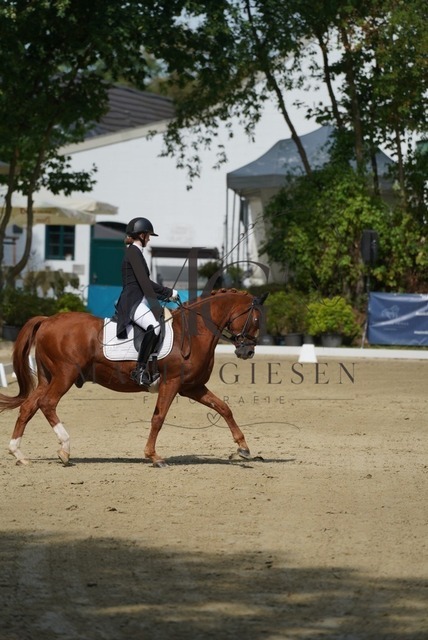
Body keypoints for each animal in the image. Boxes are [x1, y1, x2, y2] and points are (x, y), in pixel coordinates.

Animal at [0, 289, 268, 467]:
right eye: (255, 319)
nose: (247, 352)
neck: (193, 332)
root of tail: (47, 320)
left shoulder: (193, 387)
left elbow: (224, 408)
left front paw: (243, 448)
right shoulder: (172, 383)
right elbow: (158, 418)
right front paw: (154, 456)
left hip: (48, 377)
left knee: (29, 407)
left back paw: (18, 453)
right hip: (65, 375)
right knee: (47, 404)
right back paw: (64, 449)